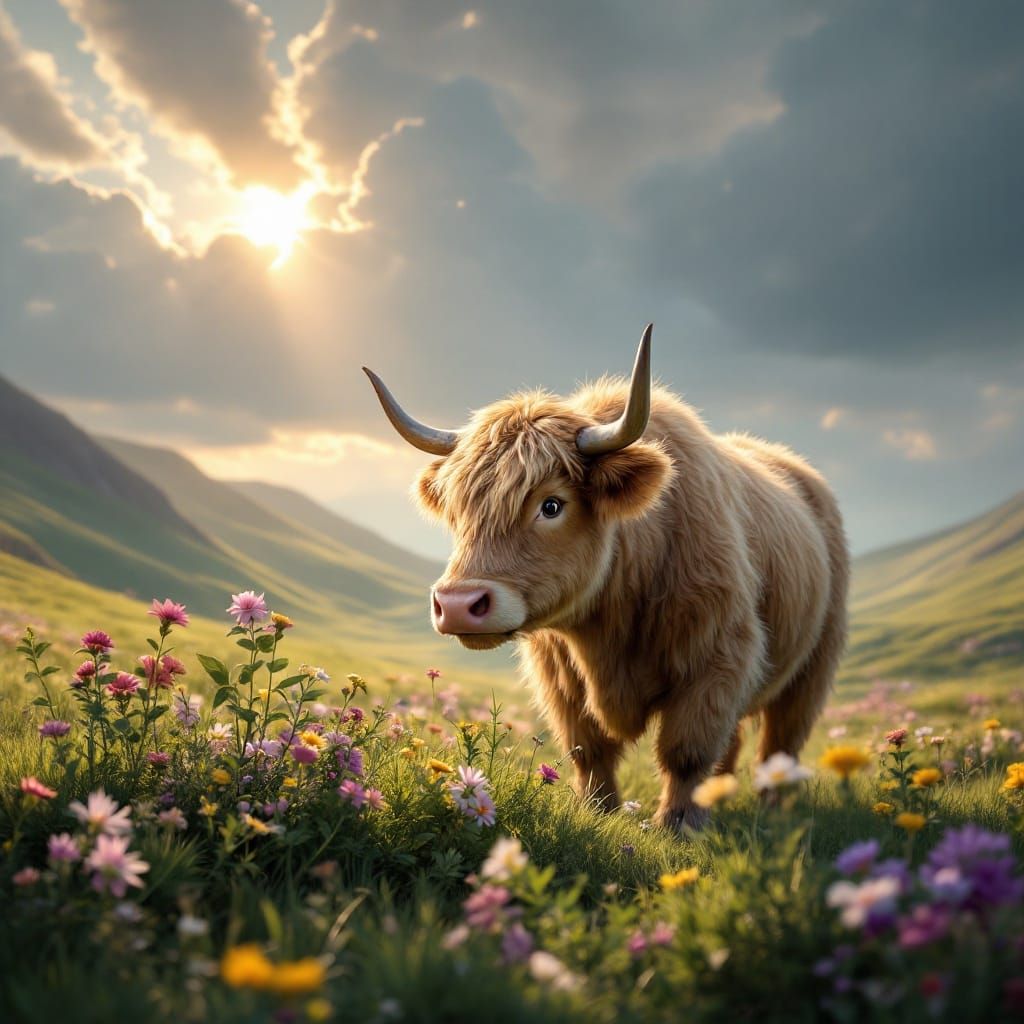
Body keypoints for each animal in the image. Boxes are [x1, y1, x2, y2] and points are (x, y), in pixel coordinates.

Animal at [364, 325, 848, 828]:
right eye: (458, 510)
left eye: (552, 504)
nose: (458, 605)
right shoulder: (560, 675)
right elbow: (588, 748)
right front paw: (600, 812)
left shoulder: (718, 657)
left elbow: (686, 751)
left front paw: (678, 827)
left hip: (813, 668)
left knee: (780, 743)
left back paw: (772, 812)